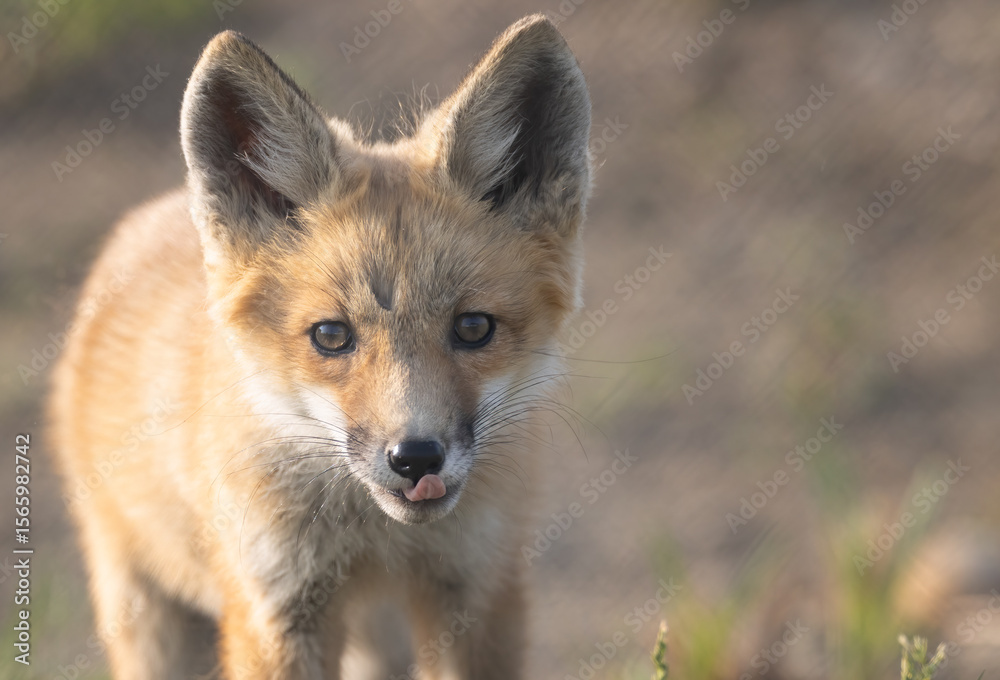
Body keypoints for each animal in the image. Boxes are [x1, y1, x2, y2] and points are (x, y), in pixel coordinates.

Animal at [50, 14, 591, 680]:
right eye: (331, 336)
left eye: (473, 329)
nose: (415, 458)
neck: (377, 538)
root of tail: (149, 215)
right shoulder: (276, 604)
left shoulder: (478, 587)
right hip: (147, 617)